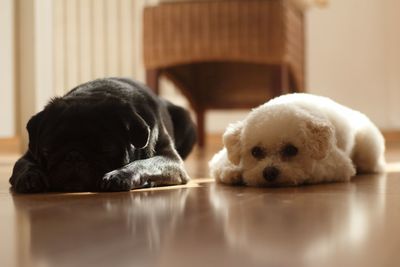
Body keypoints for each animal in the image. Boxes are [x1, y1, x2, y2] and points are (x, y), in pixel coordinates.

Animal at [9, 77, 197, 193]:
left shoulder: (170, 159)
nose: (74, 156)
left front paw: (120, 175)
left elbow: (145, 163)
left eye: (106, 149)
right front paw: (30, 177)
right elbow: (24, 165)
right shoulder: (28, 155)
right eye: (47, 150)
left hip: (187, 120)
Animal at [208, 93, 386, 186]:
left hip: (367, 147)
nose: (269, 173)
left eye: (291, 150)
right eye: (256, 151)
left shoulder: (337, 165)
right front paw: (233, 171)